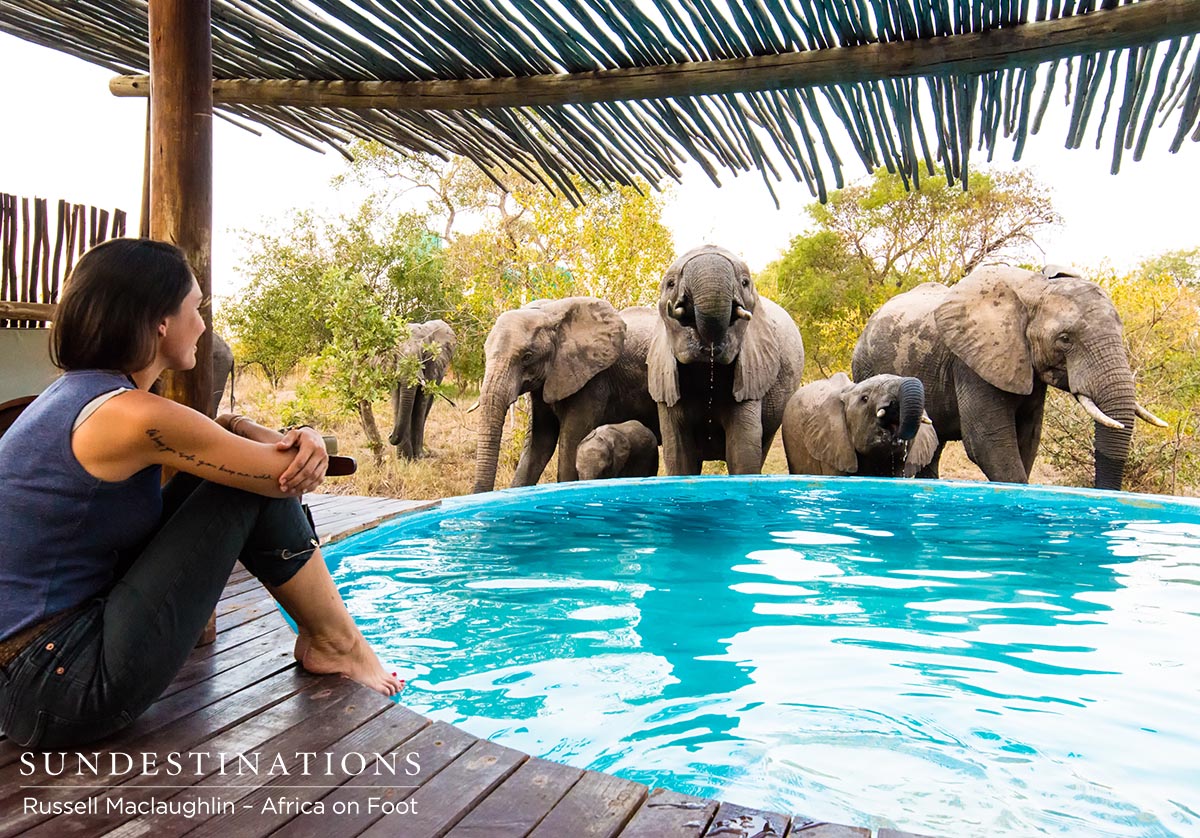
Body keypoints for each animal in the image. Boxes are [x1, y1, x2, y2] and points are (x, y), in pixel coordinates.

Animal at [388, 316, 453, 456]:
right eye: (395, 354)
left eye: (424, 353)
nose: (389, 435)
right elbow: (397, 400)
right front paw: (403, 458)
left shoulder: (432, 365)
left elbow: (421, 403)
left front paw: (417, 456)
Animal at [849, 264, 1166, 489]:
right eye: (1065, 339)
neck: (1035, 290)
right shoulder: (972, 362)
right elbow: (989, 442)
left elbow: (1028, 437)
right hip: (866, 366)